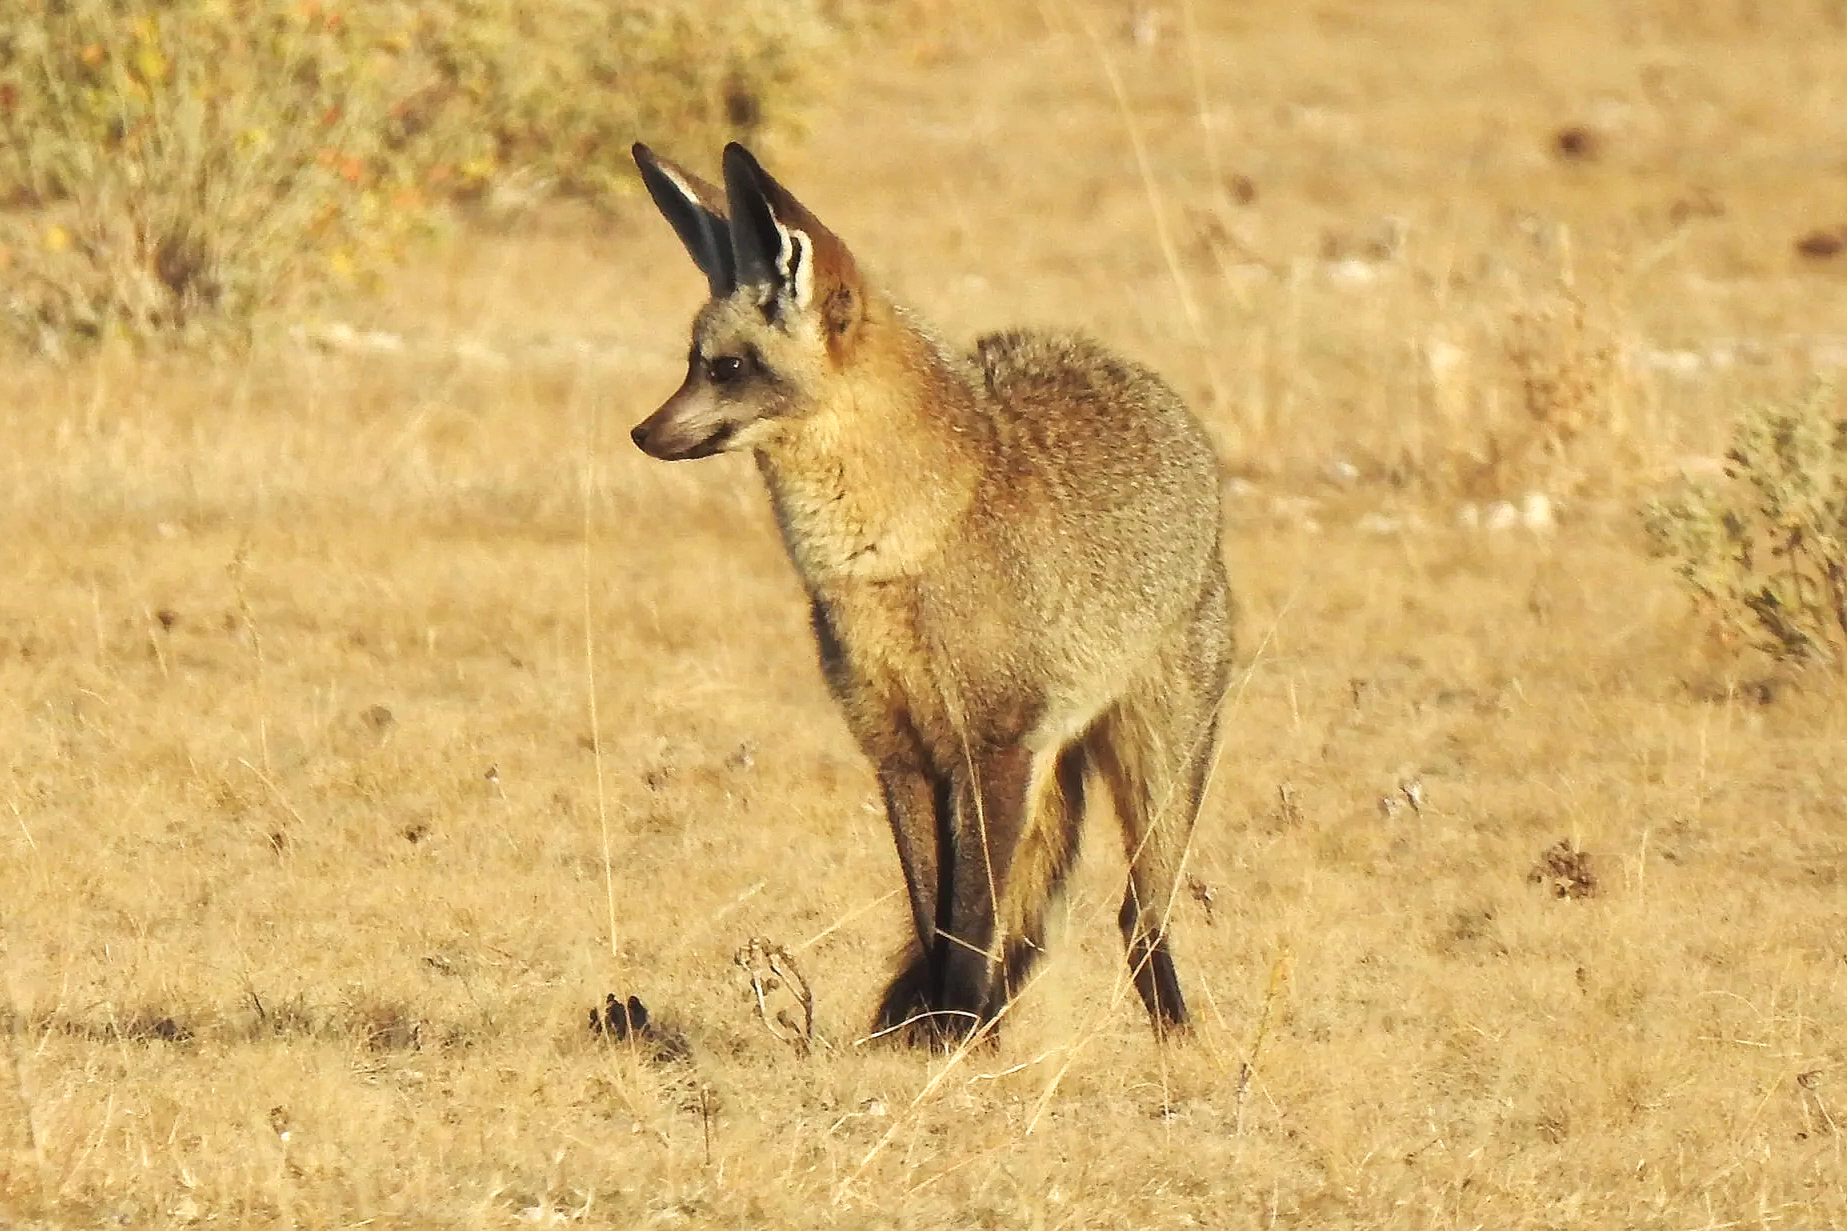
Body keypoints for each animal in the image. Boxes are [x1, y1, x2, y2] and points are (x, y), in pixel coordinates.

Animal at [628, 142, 1233, 1045]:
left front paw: (954, 1031)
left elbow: (975, 917)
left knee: (1138, 916)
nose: (642, 433)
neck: (890, 554)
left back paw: (1172, 1032)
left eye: (726, 368)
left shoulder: (992, 745)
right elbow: (934, 913)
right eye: (692, 365)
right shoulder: (899, 750)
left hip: (1157, 766)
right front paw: (942, 1031)